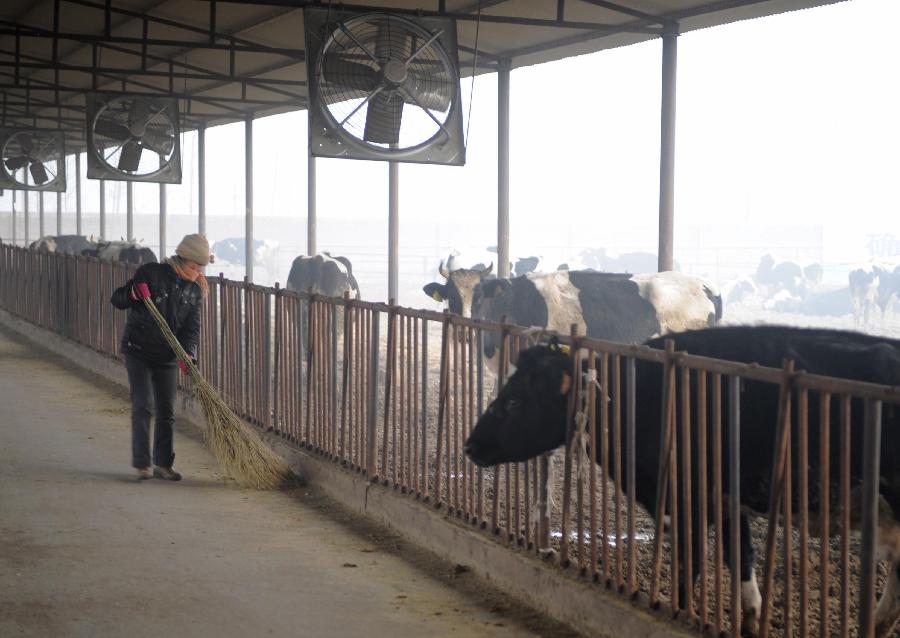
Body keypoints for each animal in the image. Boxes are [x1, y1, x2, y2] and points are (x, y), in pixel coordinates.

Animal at [468, 328, 900, 636]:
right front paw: (750, 616)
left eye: (512, 402)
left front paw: (681, 611)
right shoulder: (725, 498)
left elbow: (687, 565)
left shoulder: (686, 498)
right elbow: (739, 553)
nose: (470, 445)